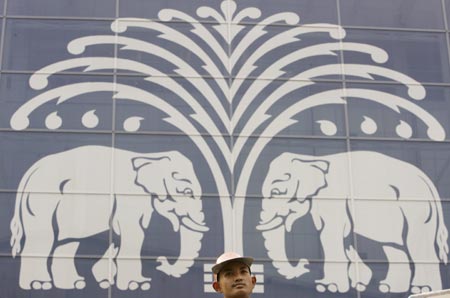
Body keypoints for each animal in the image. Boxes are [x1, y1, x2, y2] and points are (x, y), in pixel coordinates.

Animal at [8, 146, 209, 290]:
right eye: (186, 191)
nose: (160, 260)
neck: (150, 156)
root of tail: (30, 172)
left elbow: (121, 236)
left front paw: (106, 280)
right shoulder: (129, 196)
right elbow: (134, 234)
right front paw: (137, 285)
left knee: (68, 243)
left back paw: (74, 284)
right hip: (41, 202)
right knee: (43, 240)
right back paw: (39, 284)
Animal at [256, 151, 450, 294]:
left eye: (276, 191)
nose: (305, 263)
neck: (310, 159)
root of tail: (428, 182)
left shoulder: (334, 197)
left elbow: (330, 234)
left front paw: (328, 287)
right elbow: (343, 236)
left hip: (417, 210)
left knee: (416, 245)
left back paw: (422, 289)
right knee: (393, 248)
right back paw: (388, 288)